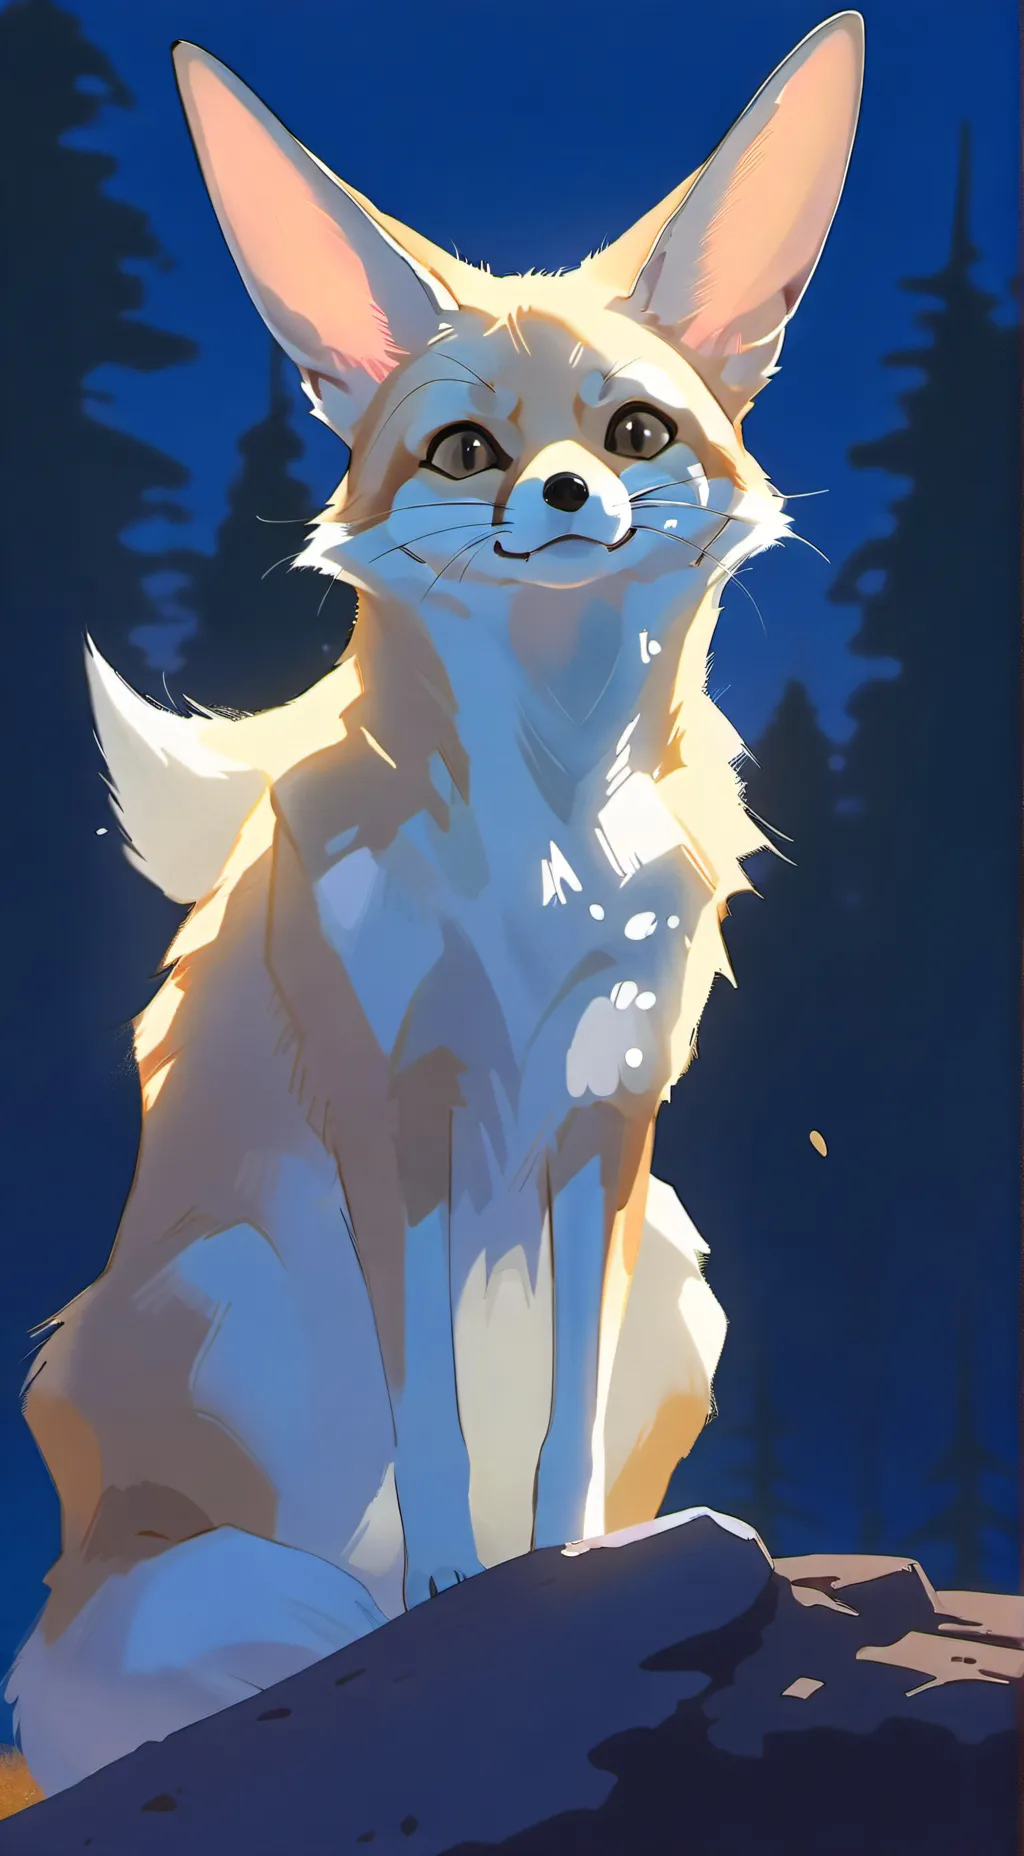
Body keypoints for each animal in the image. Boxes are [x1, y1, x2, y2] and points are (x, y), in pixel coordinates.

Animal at [6, 14, 863, 1795]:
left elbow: (555, 1423)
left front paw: (566, 1571)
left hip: (684, 1281)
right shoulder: (392, 1108)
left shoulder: (609, 1122)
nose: (562, 497)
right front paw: (457, 1596)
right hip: (235, 1313)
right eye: (467, 449)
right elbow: (436, 1429)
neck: (545, 848)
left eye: (635, 434)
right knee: (187, 1651)